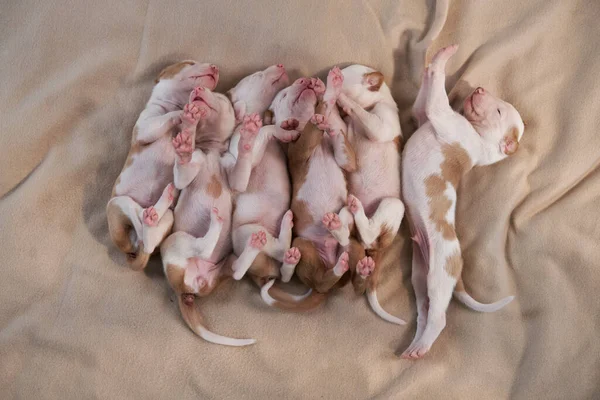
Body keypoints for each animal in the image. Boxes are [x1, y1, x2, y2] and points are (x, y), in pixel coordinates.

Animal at [106, 61, 219, 268]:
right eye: (190, 63)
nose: (215, 67)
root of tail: (132, 248)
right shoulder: (144, 128)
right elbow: (164, 118)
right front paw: (185, 112)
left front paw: (192, 118)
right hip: (118, 203)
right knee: (141, 227)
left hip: (167, 218)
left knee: (148, 238)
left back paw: (159, 207)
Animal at [324, 64, 408, 324]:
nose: (330, 74)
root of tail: (383, 248)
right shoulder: (345, 129)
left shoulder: (380, 126)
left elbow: (359, 110)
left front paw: (340, 95)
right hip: (346, 212)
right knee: (353, 234)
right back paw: (337, 226)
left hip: (393, 205)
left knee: (370, 235)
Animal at [400, 46, 524, 360]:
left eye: (499, 110)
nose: (478, 88)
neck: (482, 141)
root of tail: (458, 270)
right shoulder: (423, 115)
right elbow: (422, 102)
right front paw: (432, 60)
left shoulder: (443, 117)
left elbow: (437, 97)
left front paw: (443, 56)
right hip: (421, 273)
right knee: (425, 310)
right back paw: (416, 343)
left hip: (440, 272)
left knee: (439, 317)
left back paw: (422, 346)